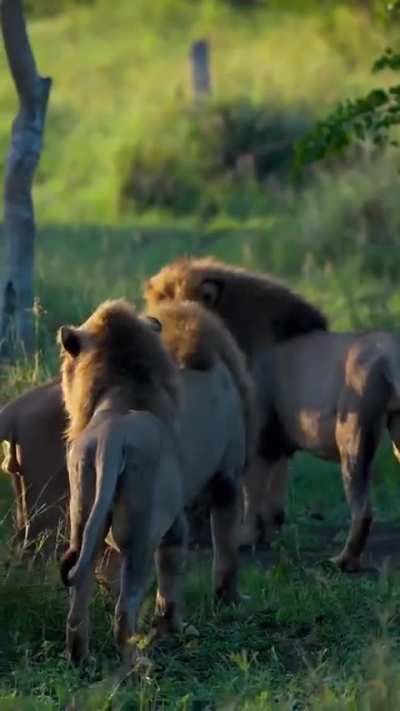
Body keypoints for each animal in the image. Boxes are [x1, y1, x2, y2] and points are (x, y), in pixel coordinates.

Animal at [58, 298, 251, 667]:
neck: (121, 395)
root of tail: (111, 441)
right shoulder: (228, 480)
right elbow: (224, 552)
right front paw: (228, 600)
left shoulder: (175, 521)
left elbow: (171, 570)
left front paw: (170, 626)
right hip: (139, 533)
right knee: (123, 608)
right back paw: (137, 662)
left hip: (84, 517)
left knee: (79, 588)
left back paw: (80, 657)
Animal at [145, 257, 400, 572]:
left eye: (172, 307)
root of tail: (390, 356)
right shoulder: (279, 442)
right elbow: (275, 495)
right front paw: (270, 534)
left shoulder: (256, 439)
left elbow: (251, 494)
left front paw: (246, 537)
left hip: (353, 438)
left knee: (362, 509)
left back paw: (342, 561)